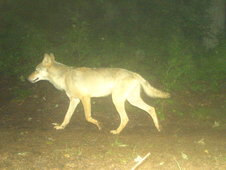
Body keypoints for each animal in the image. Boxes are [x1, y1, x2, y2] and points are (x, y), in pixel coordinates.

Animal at [27, 53, 170, 134]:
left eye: (35, 70)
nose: (27, 79)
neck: (63, 76)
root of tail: (134, 73)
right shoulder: (74, 100)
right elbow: (67, 117)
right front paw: (61, 127)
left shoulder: (85, 98)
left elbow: (88, 117)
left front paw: (99, 125)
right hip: (132, 100)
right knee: (151, 109)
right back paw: (158, 128)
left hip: (117, 101)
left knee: (125, 118)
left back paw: (116, 132)